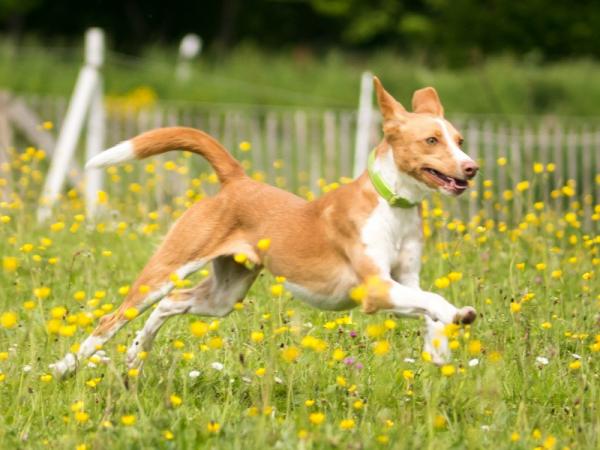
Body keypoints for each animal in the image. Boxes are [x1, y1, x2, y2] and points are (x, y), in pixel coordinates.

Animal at [52, 76, 482, 376]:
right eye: (431, 140)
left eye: (460, 140)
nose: (472, 168)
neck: (393, 204)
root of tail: (236, 181)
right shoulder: (376, 288)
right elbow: (433, 301)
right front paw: (457, 316)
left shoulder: (405, 280)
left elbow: (426, 306)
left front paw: (439, 347)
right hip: (165, 269)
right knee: (110, 321)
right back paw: (62, 369)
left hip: (225, 294)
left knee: (171, 304)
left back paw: (135, 354)